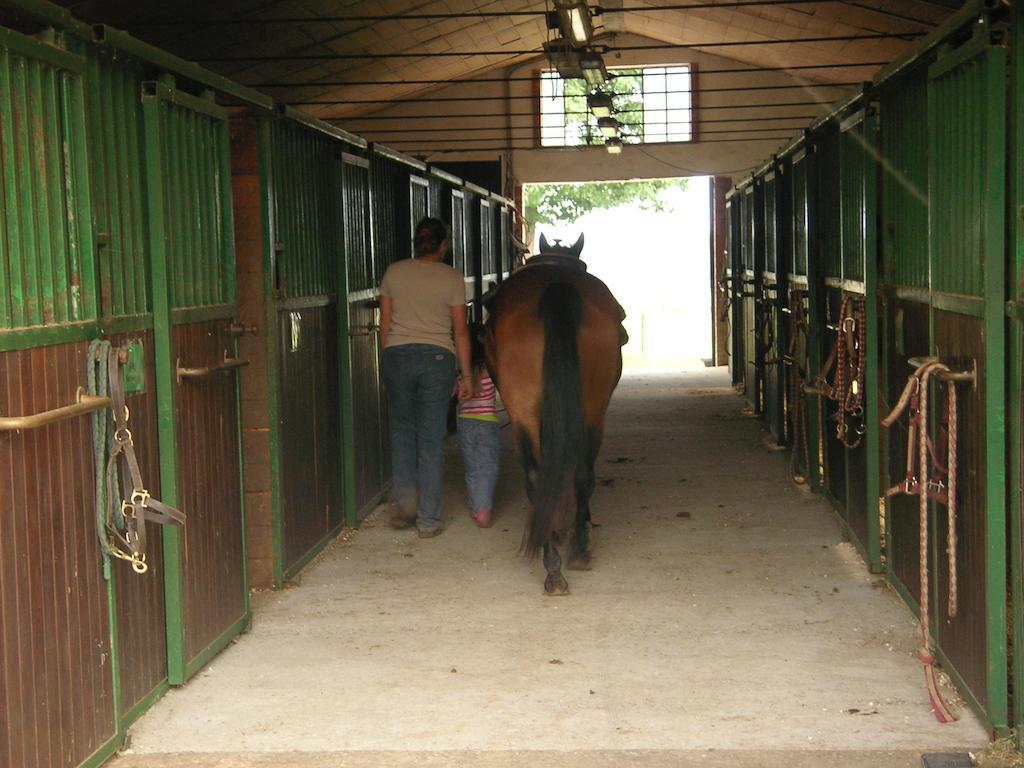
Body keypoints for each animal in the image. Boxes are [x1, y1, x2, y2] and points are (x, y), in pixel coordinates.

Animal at [485, 233, 622, 593]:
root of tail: (556, 288)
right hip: (592, 409)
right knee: (578, 475)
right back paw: (571, 554)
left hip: (529, 414)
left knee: (543, 478)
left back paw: (558, 562)